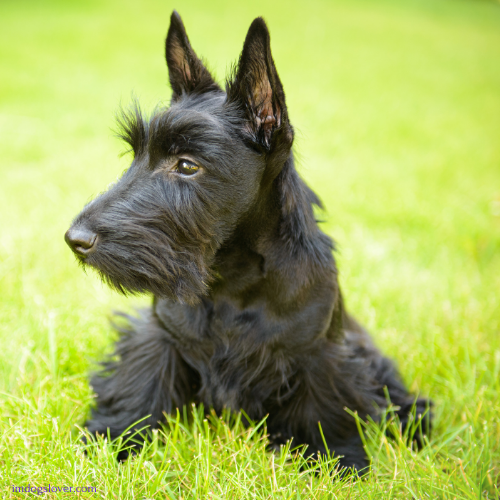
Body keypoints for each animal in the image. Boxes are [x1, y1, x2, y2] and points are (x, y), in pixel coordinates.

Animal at [64, 12, 430, 472]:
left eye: (187, 165)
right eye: (136, 155)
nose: (75, 239)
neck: (232, 280)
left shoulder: (322, 354)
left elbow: (325, 409)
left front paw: (338, 458)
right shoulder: (159, 336)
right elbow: (142, 387)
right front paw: (115, 438)